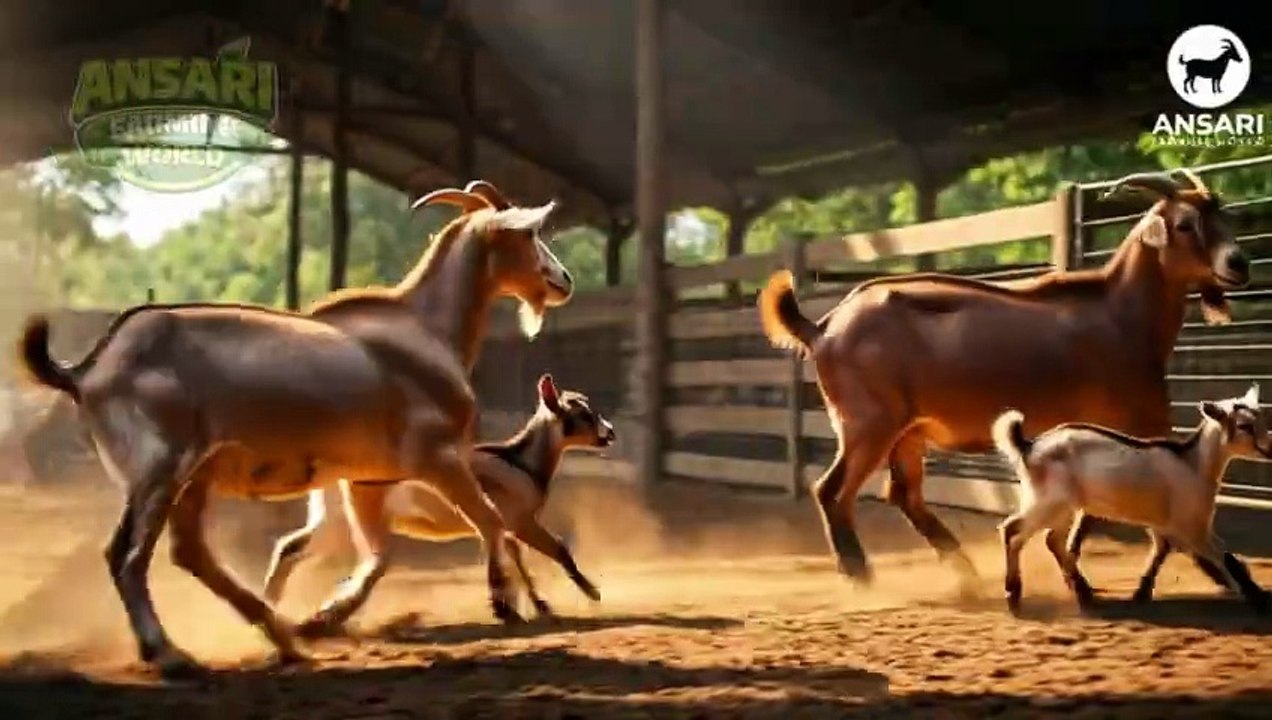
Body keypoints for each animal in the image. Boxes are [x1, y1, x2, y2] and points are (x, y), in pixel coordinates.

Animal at [16, 181, 574, 678]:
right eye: (529, 234)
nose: (564, 279)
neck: (426, 330)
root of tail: (89, 368)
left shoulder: (366, 480)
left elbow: (386, 553)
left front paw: (324, 616)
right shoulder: (437, 457)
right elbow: (491, 521)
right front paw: (504, 601)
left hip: (192, 477)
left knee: (189, 552)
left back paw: (282, 637)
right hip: (159, 469)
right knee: (127, 555)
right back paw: (173, 655)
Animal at [264, 373, 613, 627]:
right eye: (582, 414)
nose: (610, 432)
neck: (518, 462)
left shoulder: (506, 526)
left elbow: (516, 559)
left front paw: (538, 605)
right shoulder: (521, 521)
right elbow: (558, 549)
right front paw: (592, 593)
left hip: (329, 521)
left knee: (290, 547)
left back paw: (271, 603)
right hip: (345, 523)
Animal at [758, 169, 1250, 592]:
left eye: (1223, 215)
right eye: (1184, 224)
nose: (1239, 263)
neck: (1119, 313)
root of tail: (824, 327)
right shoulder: (1139, 422)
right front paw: (1220, 570)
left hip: (907, 431)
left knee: (903, 494)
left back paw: (963, 569)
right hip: (869, 422)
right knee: (833, 491)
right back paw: (861, 574)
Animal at [992, 384, 1272, 615]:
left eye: (1261, 419)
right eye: (1244, 426)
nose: (1270, 448)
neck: (1193, 464)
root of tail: (1028, 446)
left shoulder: (1166, 524)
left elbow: (1163, 551)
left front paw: (1142, 591)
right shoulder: (1192, 526)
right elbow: (1222, 556)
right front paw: (1256, 598)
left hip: (1061, 506)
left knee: (1052, 540)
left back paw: (1083, 592)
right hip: (1049, 502)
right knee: (1013, 530)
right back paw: (1013, 592)